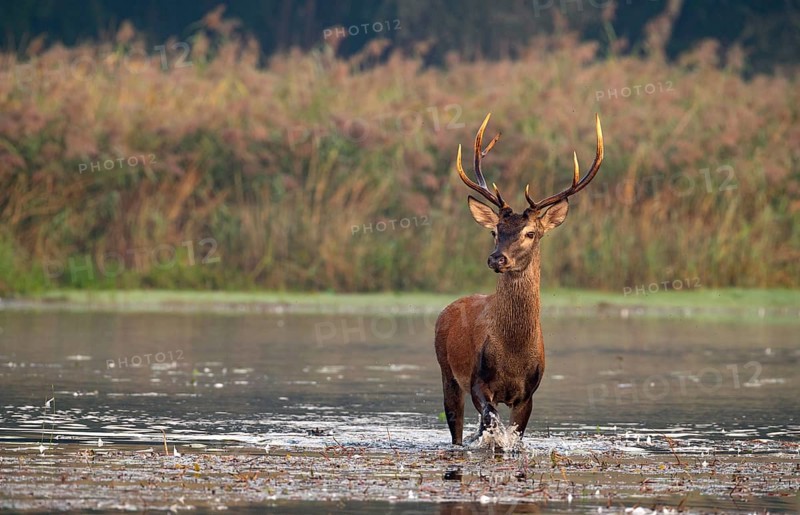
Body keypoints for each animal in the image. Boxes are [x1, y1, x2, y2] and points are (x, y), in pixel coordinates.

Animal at [434, 113, 603, 445]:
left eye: (531, 233)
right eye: (494, 230)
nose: (496, 259)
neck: (512, 355)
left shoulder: (528, 393)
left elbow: (513, 437)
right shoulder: (477, 381)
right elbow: (491, 423)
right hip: (446, 371)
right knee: (456, 430)